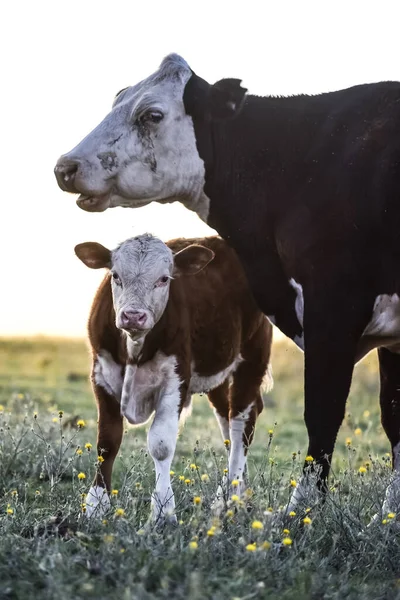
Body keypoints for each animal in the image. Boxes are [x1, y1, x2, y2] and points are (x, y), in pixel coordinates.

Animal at [74, 234, 272, 524]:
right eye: (116, 275)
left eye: (164, 279)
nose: (133, 315)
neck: (135, 348)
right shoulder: (102, 376)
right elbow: (106, 442)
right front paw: (96, 505)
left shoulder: (175, 381)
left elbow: (161, 445)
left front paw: (163, 512)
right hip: (217, 373)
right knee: (228, 421)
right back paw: (240, 492)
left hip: (252, 357)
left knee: (241, 425)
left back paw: (229, 498)